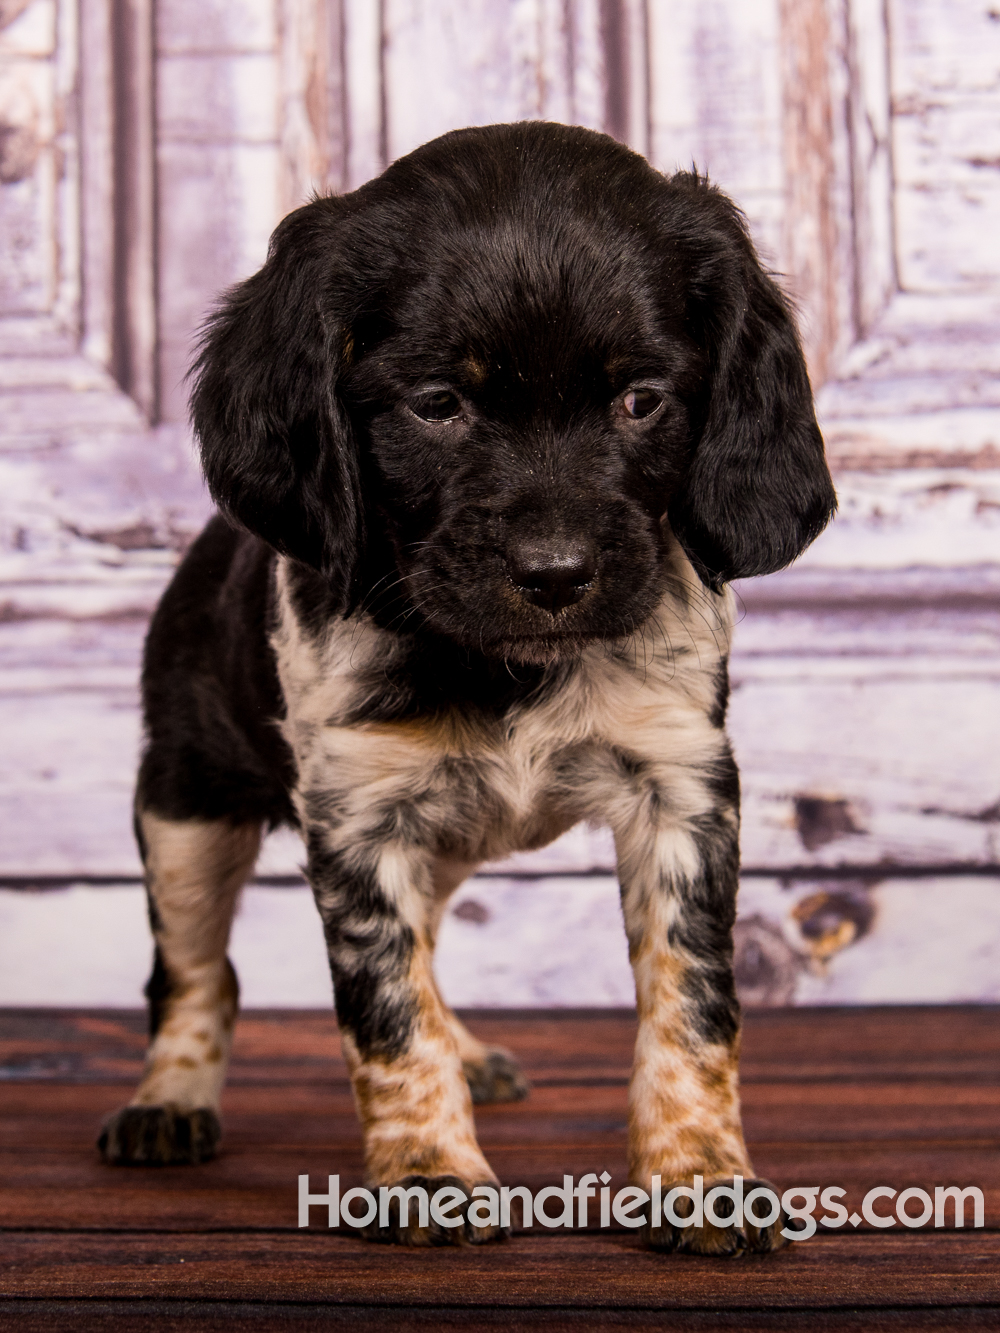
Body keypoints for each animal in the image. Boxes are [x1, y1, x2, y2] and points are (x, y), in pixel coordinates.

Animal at [100, 119, 837, 1253]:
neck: (502, 663)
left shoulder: (681, 786)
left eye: (642, 400)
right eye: (436, 406)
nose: (555, 574)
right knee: (194, 975)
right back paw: (168, 1099)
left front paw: (700, 1174)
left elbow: (693, 1003)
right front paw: (426, 1175)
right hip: (186, 808)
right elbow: (385, 1013)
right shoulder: (358, 819)